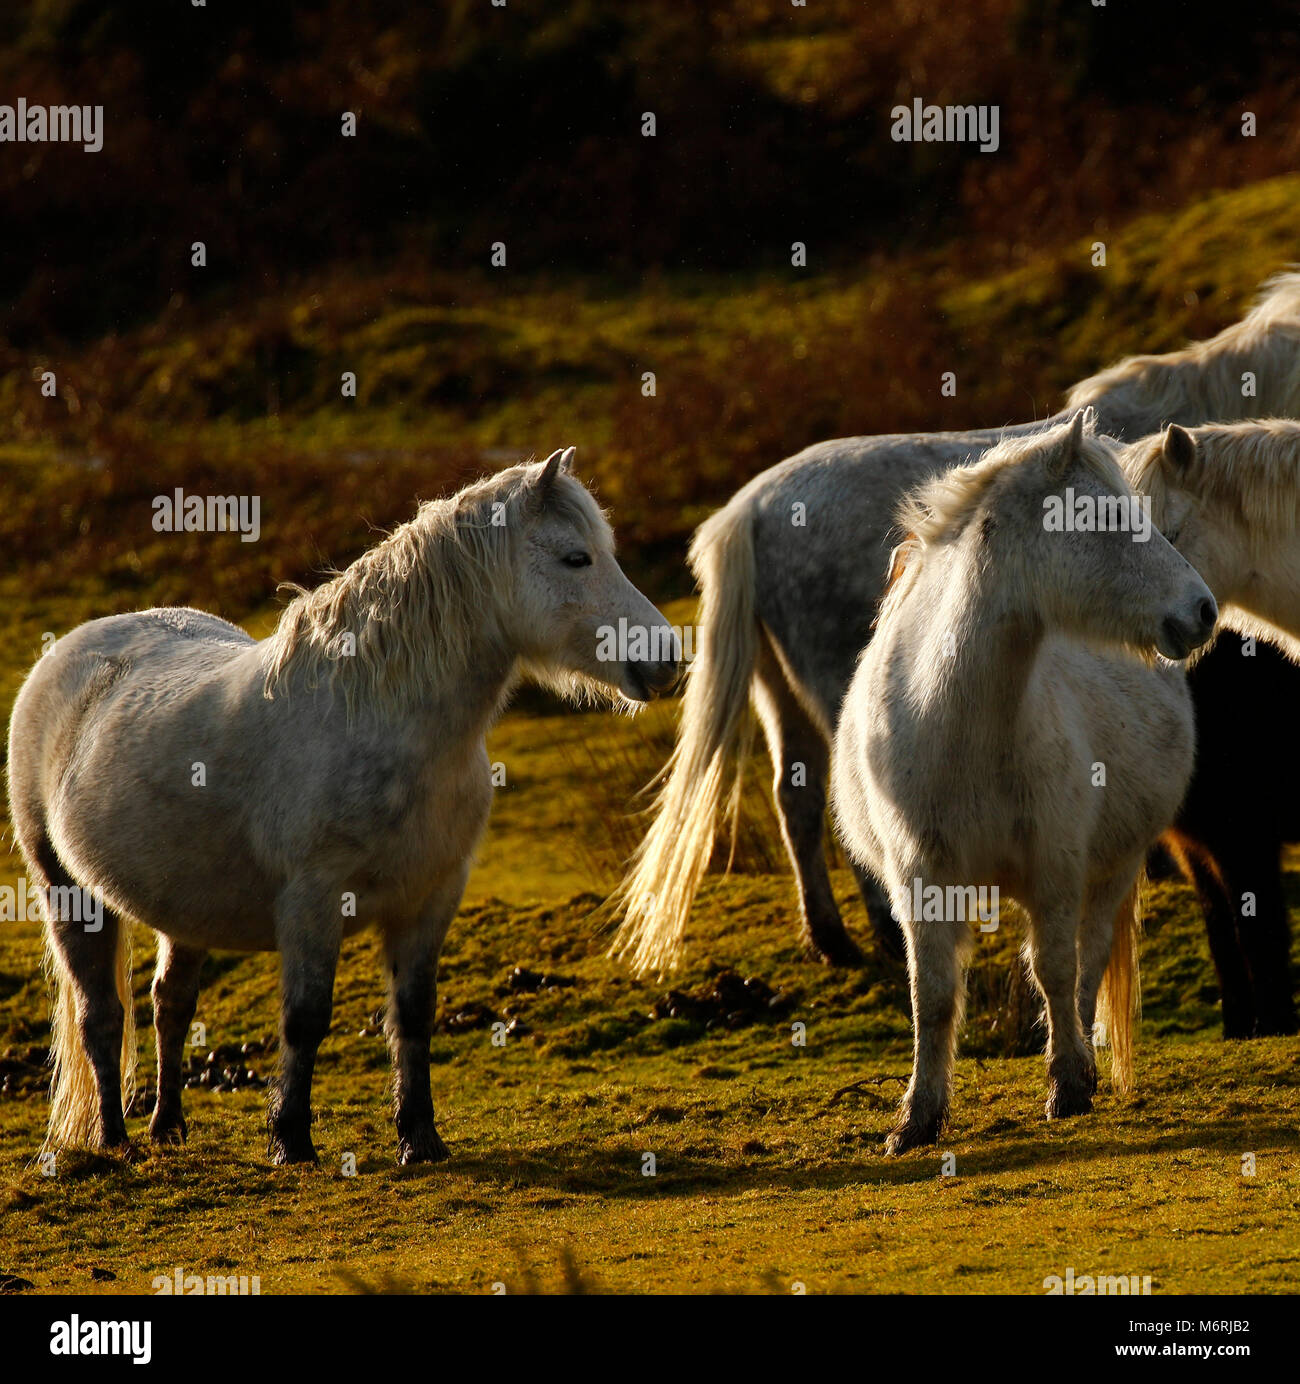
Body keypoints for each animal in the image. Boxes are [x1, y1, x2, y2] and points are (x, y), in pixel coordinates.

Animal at [7, 448, 681, 1162]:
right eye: (576, 558)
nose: (668, 659)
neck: (377, 717)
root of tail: (67, 653)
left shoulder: (431, 898)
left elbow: (413, 1017)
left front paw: (420, 1139)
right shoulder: (314, 901)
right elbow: (305, 1020)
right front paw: (291, 1140)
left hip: (179, 905)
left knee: (171, 1004)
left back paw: (167, 1128)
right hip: (66, 891)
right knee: (101, 1017)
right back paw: (115, 1141)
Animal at [836, 415, 1218, 1151]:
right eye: (1104, 518)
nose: (1203, 612)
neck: (958, 721)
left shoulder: (1056, 867)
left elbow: (1058, 972)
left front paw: (1066, 1085)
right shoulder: (919, 878)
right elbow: (933, 995)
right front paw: (916, 1118)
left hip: (1115, 865)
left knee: (1088, 959)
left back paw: (1085, 1070)